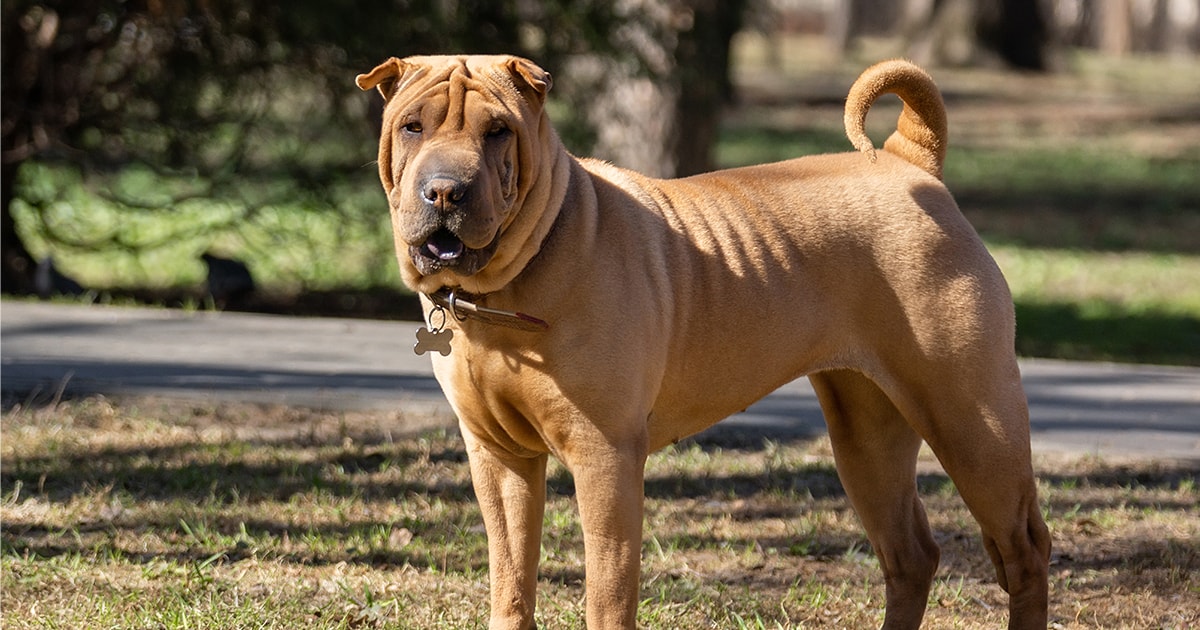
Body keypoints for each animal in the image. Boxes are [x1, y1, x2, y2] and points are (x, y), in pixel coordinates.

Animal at [355, 55, 1051, 628]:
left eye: (497, 131)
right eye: (412, 127)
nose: (445, 190)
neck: (505, 288)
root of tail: (910, 162)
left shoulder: (605, 457)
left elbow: (607, 594)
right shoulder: (499, 457)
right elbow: (511, 586)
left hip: (972, 421)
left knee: (1023, 550)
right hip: (866, 434)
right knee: (911, 555)